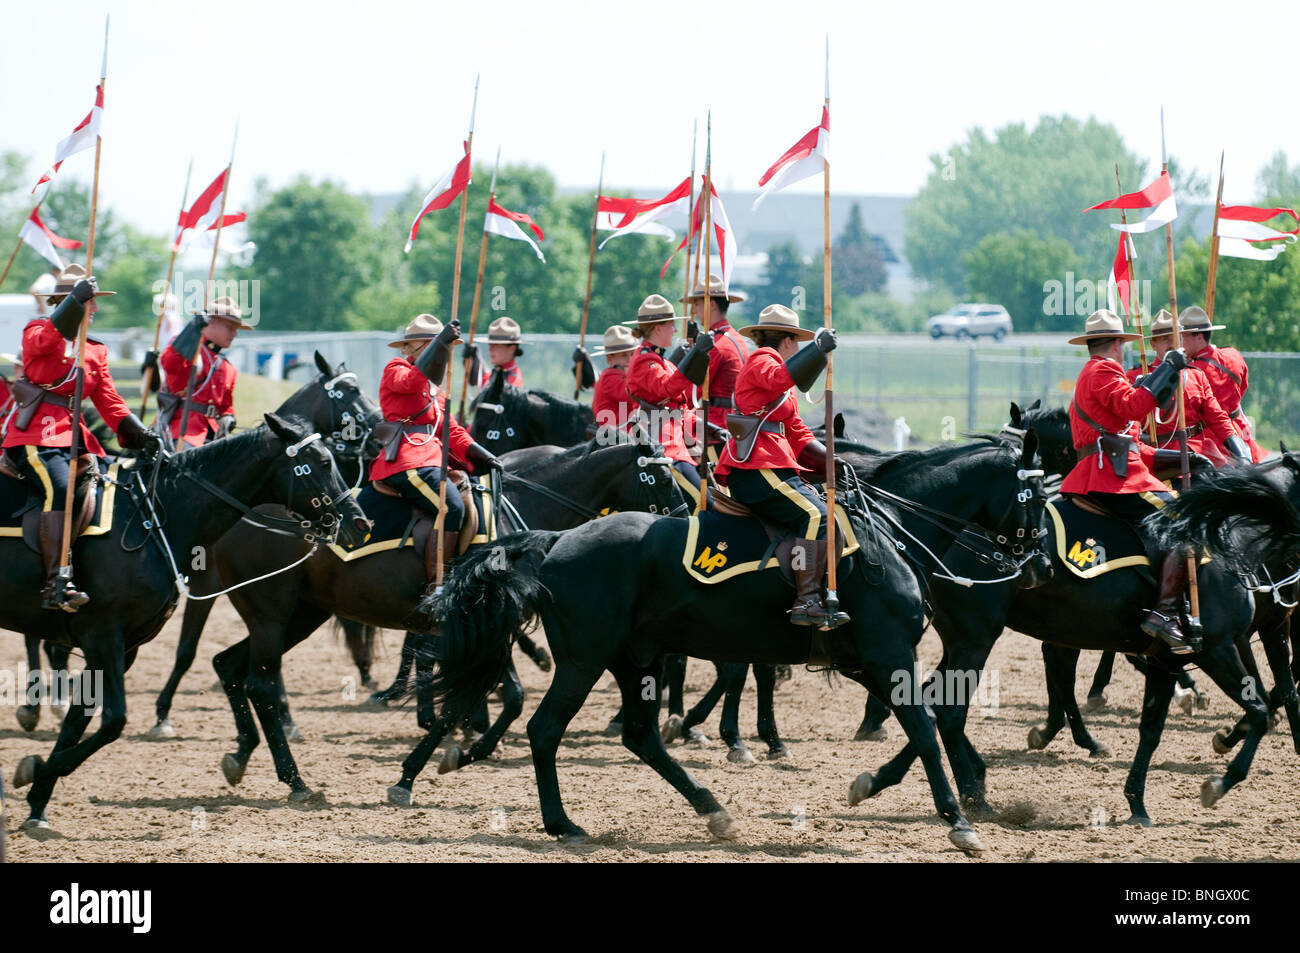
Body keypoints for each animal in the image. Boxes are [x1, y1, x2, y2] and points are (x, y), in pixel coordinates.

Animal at [6, 413, 371, 826]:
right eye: (323, 463)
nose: (360, 523)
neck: (151, 520)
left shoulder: (120, 647)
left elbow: (81, 719)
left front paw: (39, 796)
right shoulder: (104, 638)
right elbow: (114, 718)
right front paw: (35, 771)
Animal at [423, 439, 1045, 847]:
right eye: (1035, 497)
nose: (1038, 565)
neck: (882, 541)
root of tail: (557, 540)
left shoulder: (870, 662)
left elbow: (928, 723)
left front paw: (878, 784)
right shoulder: (889, 656)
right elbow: (926, 728)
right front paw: (958, 820)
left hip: (635, 659)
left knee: (641, 735)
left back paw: (711, 808)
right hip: (585, 659)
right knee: (546, 729)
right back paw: (562, 823)